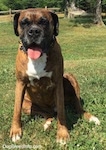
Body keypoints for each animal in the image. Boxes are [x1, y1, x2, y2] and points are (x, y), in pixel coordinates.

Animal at [9, 8, 100, 144]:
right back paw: (48, 122)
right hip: (27, 105)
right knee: (47, 113)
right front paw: (15, 131)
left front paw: (62, 134)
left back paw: (90, 117)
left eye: (44, 22)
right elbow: (16, 110)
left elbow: (62, 112)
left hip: (70, 78)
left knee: (77, 106)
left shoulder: (58, 84)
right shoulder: (20, 83)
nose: (34, 31)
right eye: (24, 23)